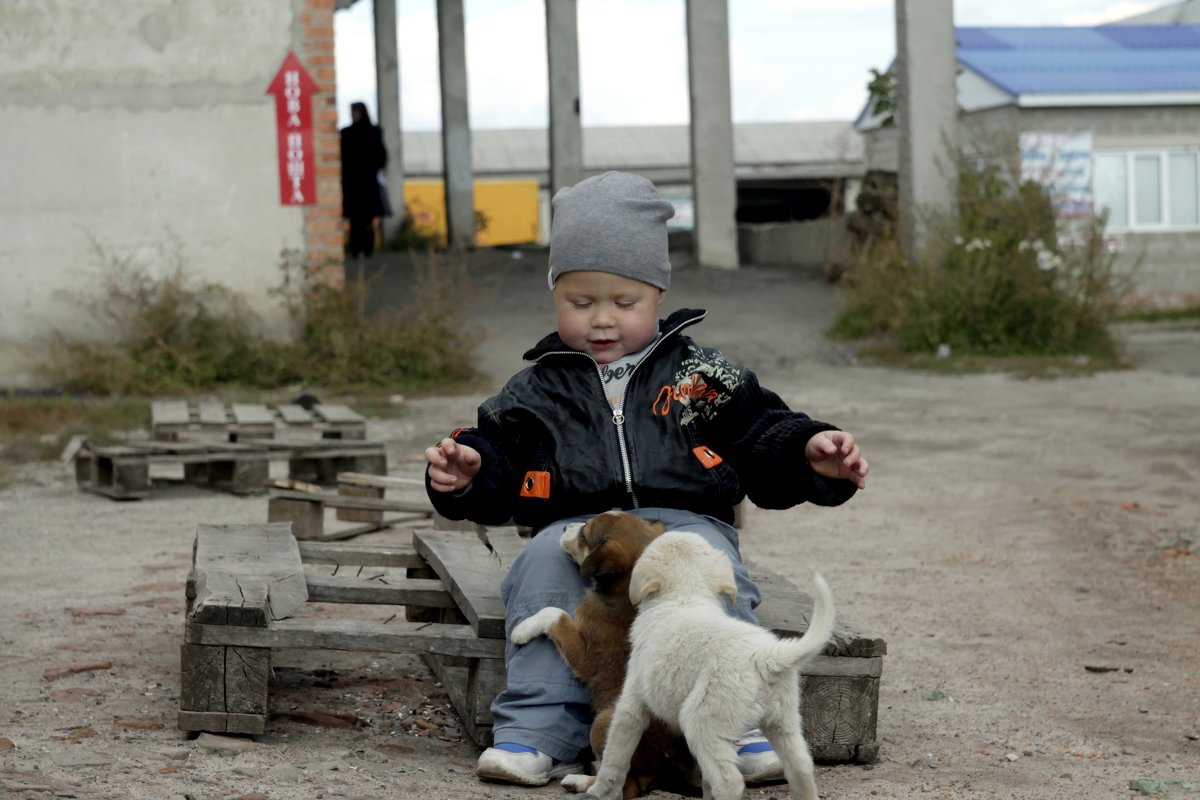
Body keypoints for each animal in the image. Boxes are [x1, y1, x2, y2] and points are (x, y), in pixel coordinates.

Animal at [508, 515, 686, 796]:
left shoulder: (586, 657)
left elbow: (555, 613)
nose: (564, 526)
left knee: (622, 786)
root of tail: (653, 771)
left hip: (604, 721)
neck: (625, 590)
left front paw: (522, 630)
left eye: (585, 534)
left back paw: (580, 782)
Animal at [580, 532, 835, 800]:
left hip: (702, 719)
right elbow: (705, 780)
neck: (685, 596)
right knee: (801, 767)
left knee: (729, 781)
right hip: (783, 720)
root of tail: (765, 656)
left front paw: (598, 791)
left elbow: (615, 757)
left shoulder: (632, 703)